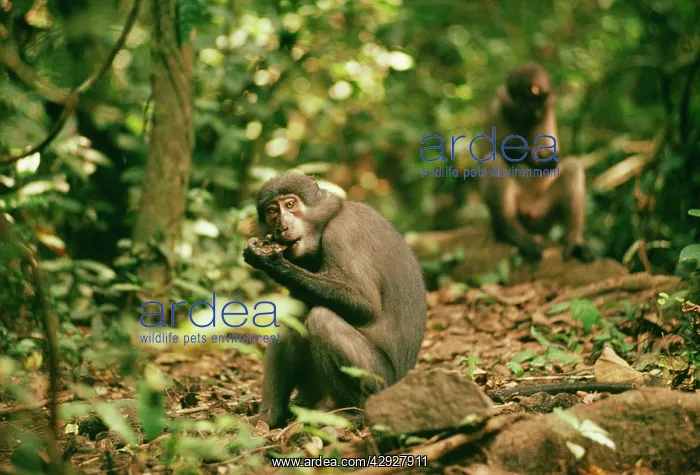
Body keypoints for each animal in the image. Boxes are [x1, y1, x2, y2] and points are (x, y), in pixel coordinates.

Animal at [243, 172, 427, 428]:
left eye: (290, 204)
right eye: (272, 211)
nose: (282, 226)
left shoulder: (342, 234)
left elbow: (365, 304)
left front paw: (270, 261)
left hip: (381, 381)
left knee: (322, 319)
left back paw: (353, 412)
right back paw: (270, 417)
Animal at [477, 62, 595, 263]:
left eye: (540, 103)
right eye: (530, 102)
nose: (537, 111)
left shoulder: (549, 111)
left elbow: (553, 153)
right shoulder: (497, 106)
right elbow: (487, 152)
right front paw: (533, 158)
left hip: (546, 211)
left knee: (573, 167)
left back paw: (574, 241)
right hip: (520, 209)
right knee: (493, 163)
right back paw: (512, 233)